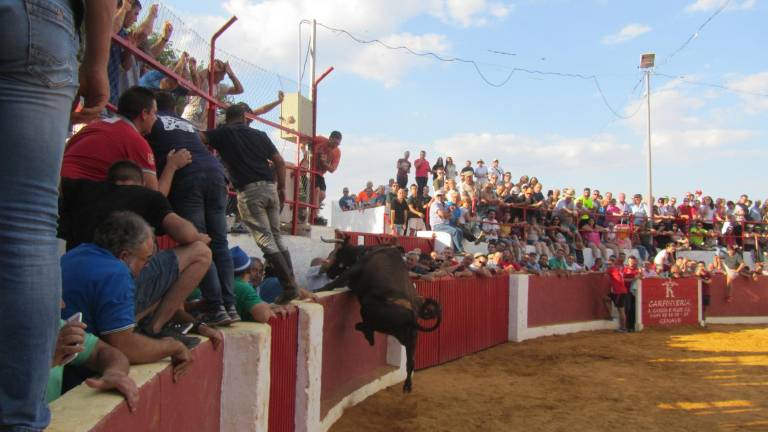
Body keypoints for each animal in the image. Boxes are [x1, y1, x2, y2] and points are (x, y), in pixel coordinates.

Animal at [316, 238, 438, 394]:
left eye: (337, 255)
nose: (328, 272)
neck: (364, 252)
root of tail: (412, 317)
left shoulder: (354, 269)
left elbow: (335, 283)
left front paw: (316, 290)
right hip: (411, 340)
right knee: (411, 362)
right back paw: (407, 385)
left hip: (368, 309)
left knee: (366, 326)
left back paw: (367, 334)